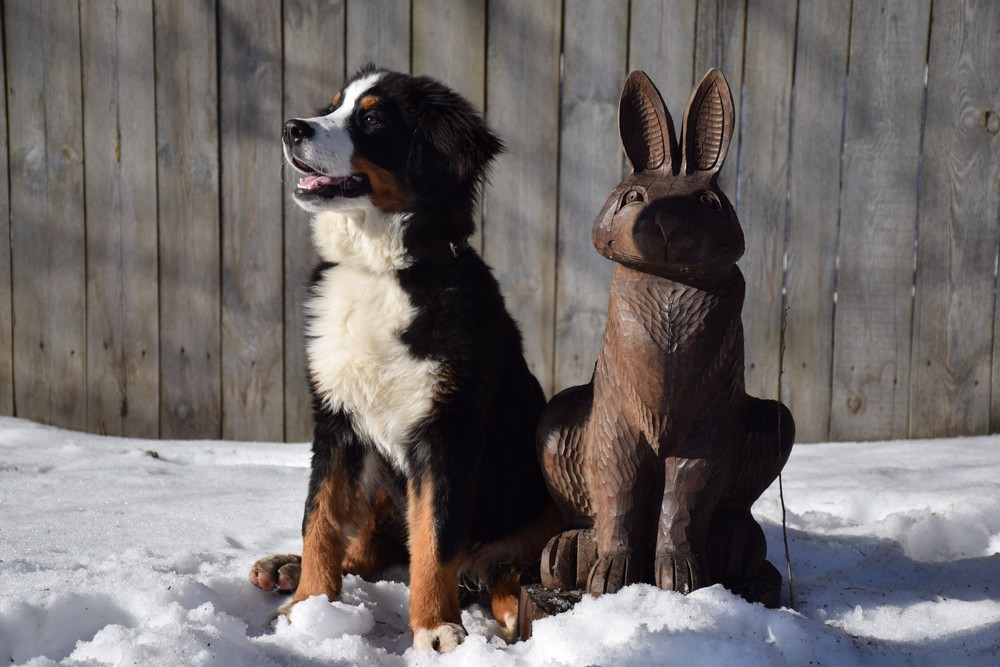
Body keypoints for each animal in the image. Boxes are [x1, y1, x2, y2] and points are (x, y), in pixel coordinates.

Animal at [249, 64, 560, 652]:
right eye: (333, 105)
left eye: (373, 119)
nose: (290, 127)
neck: (380, 270)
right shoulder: (337, 420)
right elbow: (319, 518)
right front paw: (309, 610)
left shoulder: (447, 431)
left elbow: (435, 539)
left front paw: (435, 629)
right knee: (370, 549)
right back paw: (285, 568)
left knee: (513, 561)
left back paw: (509, 603)